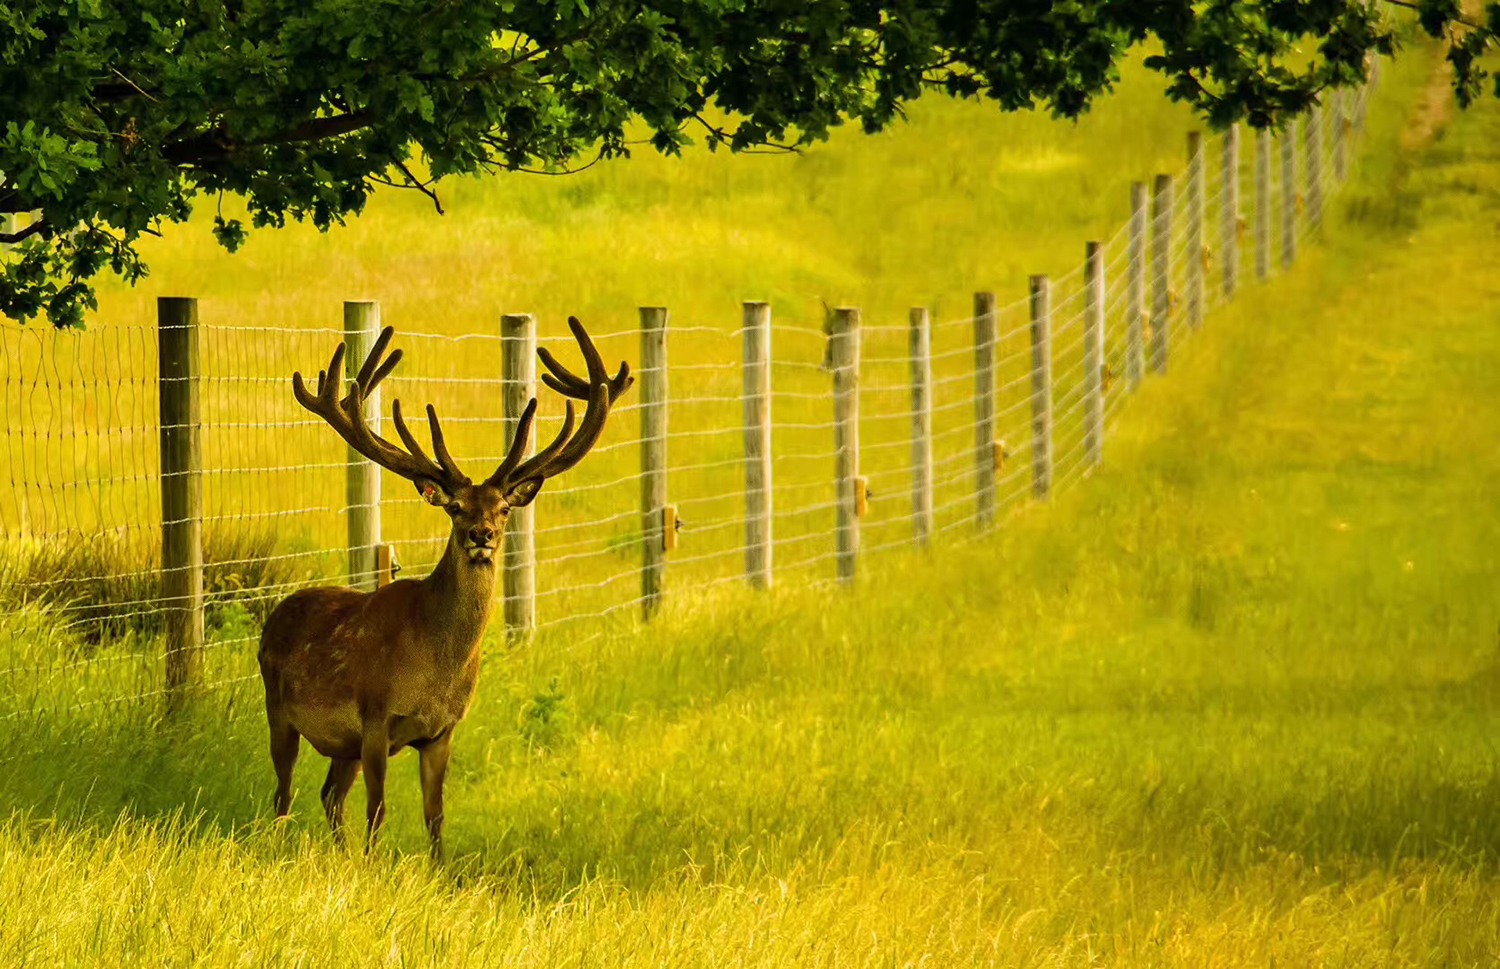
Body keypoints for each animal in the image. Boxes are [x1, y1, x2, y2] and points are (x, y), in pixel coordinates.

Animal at [258, 319, 633, 858]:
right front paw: (372, 865)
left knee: (330, 794)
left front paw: (436, 870)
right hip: (278, 710)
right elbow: (378, 811)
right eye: (455, 507)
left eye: (503, 508)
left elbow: (435, 817)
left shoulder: (442, 732)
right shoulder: (376, 717)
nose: (482, 535)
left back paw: (337, 851)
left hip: (342, 746)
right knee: (284, 793)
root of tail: (276, 614)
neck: (432, 668)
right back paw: (287, 845)